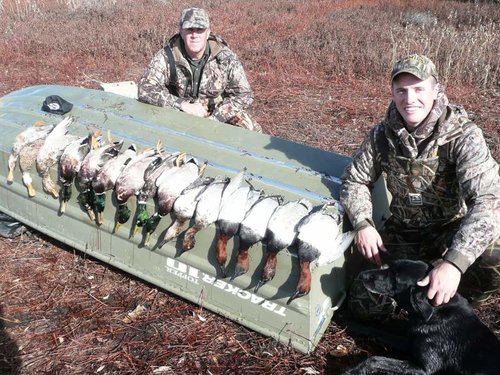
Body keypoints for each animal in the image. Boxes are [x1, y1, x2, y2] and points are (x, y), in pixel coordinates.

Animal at [344, 260, 500, 374]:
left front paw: (352, 371)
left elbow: (375, 359)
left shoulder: (424, 369)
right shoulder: (409, 342)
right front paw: (352, 325)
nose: (362, 274)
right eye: (390, 266)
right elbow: (378, 331)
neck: (434, 313)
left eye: (395, 277)